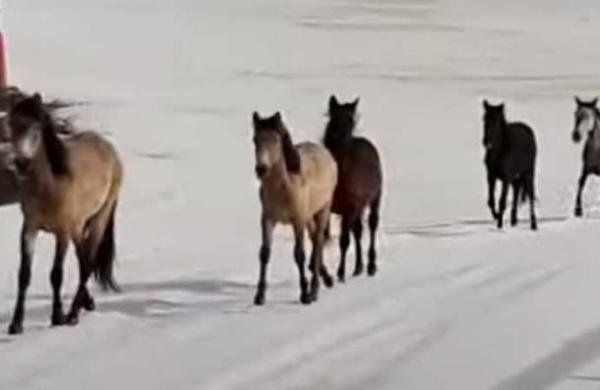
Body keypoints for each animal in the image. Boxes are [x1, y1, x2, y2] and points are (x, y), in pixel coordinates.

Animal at [4, 93, 123, 334]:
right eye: (12, 124)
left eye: (35, 128)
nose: (21, 163)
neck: (51, 184)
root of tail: (109, 149)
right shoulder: (29, 228)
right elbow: (24, 274)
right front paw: (16, 324)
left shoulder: (63, 233)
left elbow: (56, 274)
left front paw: (57, 316)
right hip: (80, 227)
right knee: (84, 259)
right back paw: (86, 303)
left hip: (98, 220)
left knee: (87, 263)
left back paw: (73, 314)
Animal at [252, 111, 338, 306]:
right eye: (255, 139)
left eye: (276, 140)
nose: (261, 169)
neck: (284, 187)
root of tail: (325, 153)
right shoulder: (267, 219)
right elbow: (264, 253)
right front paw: (259, 296)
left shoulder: (297, 221)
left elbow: (299, 254)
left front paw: (305, 294)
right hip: (309, 216)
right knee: (314, 238)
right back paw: (326, 278)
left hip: (323, 209)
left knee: (318, 241)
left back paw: (315, 289)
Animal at [324, 96, 384, 282]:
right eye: (332, 117)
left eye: (351, 120)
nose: (337, 137)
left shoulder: (349, 209)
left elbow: (344, 241)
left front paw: (340, 273)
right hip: (358, 207)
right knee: (358, 231)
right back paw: (358, 267)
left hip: (375, 200)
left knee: (372, 226)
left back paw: (371, 266)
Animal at [482, 100, 540, 232]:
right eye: (484, 119)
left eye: (496, 121)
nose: (486, 142)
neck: (499, 151)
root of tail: (530, 132)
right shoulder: (491, 176)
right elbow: (490, 201)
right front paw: (496, 215)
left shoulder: (506, 178)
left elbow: (502, 201)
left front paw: (499, 225)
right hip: (516, 177)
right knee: (516, 193)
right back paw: (514, 220)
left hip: (528, 172)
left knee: (530, 195)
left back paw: (533, 224)